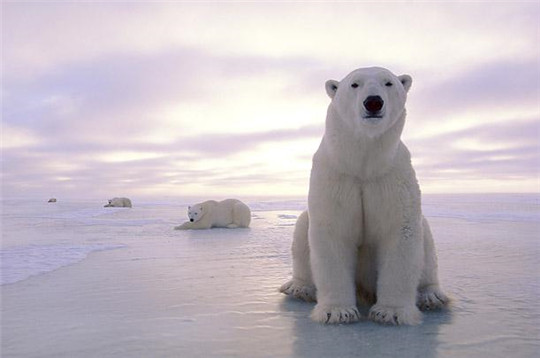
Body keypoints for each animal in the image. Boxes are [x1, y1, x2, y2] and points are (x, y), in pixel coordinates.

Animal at [278, 65, 448, 326]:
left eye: (389, 82)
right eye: (354, 84)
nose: (374, 102)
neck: (364, 165)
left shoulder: (391, 179)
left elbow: (400, 231)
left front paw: (391, 313)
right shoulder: (337, 178)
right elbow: (333, 232)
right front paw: (338, 312)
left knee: (426, 238)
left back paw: (432, 296)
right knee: (302, 228)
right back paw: (299, 288)